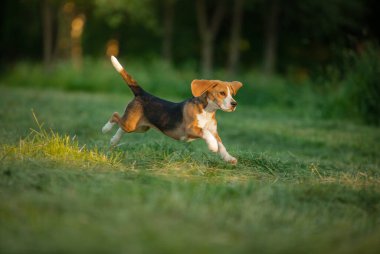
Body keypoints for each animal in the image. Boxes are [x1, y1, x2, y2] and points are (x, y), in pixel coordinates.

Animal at [102, 55, 242, 164]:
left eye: (231, 94)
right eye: (222, 93)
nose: (234, 104)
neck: (207, 111)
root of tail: (143, 93)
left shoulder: (214, 132)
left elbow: (221, 145)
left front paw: (229, 158)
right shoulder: (190, 128)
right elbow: (205, 132)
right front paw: (212, 146)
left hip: (140, 127)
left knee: (121, 127)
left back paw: (114, 140)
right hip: (131, 124)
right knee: (115, 115)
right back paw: (105, 129)